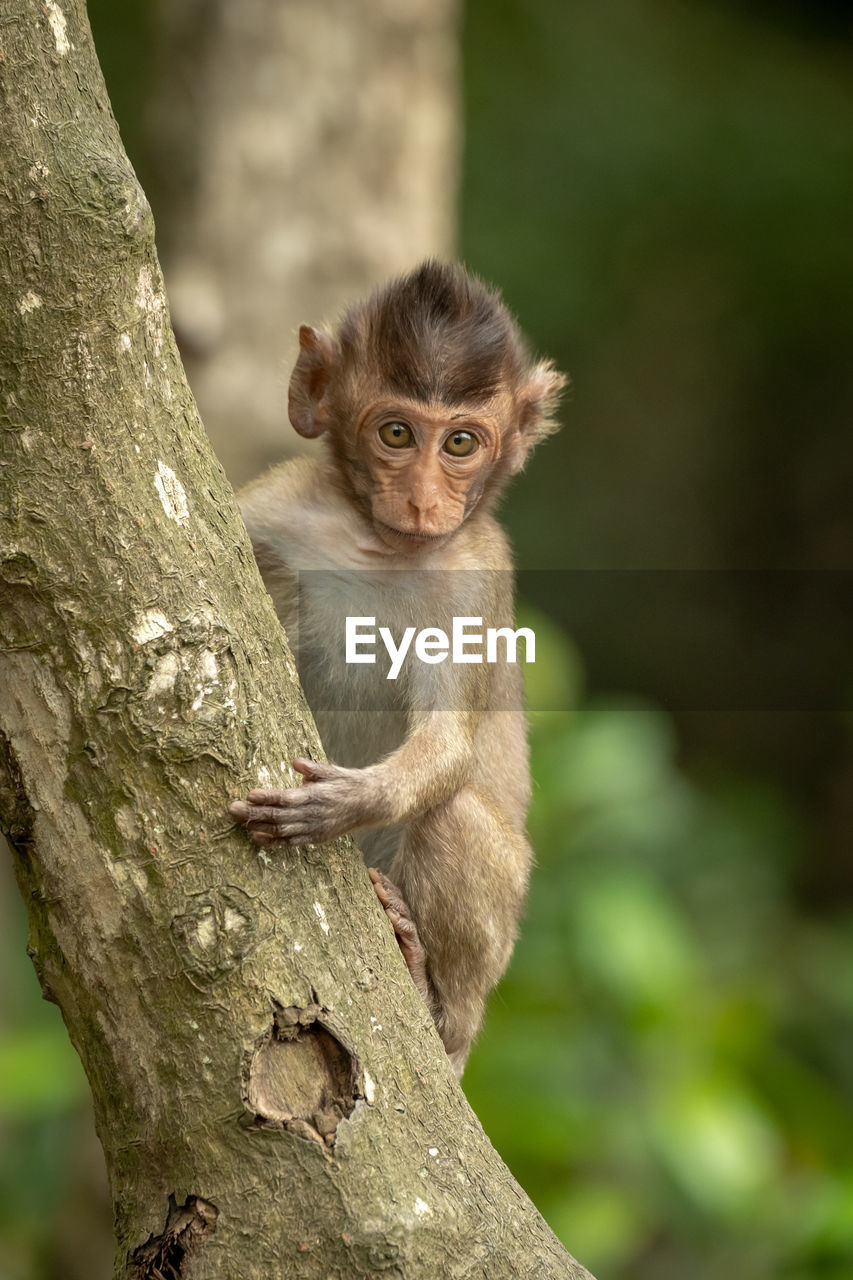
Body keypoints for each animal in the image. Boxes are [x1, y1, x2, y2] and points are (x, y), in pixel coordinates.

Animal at [229, 262, 563, 1080]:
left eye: (462, 442)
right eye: (396, 433)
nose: (422, 499)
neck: (382, 547)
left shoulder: (479, 574)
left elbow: (446, 750)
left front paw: (345, 803)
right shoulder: (278, 503)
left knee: (451, 815)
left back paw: (429, 997)